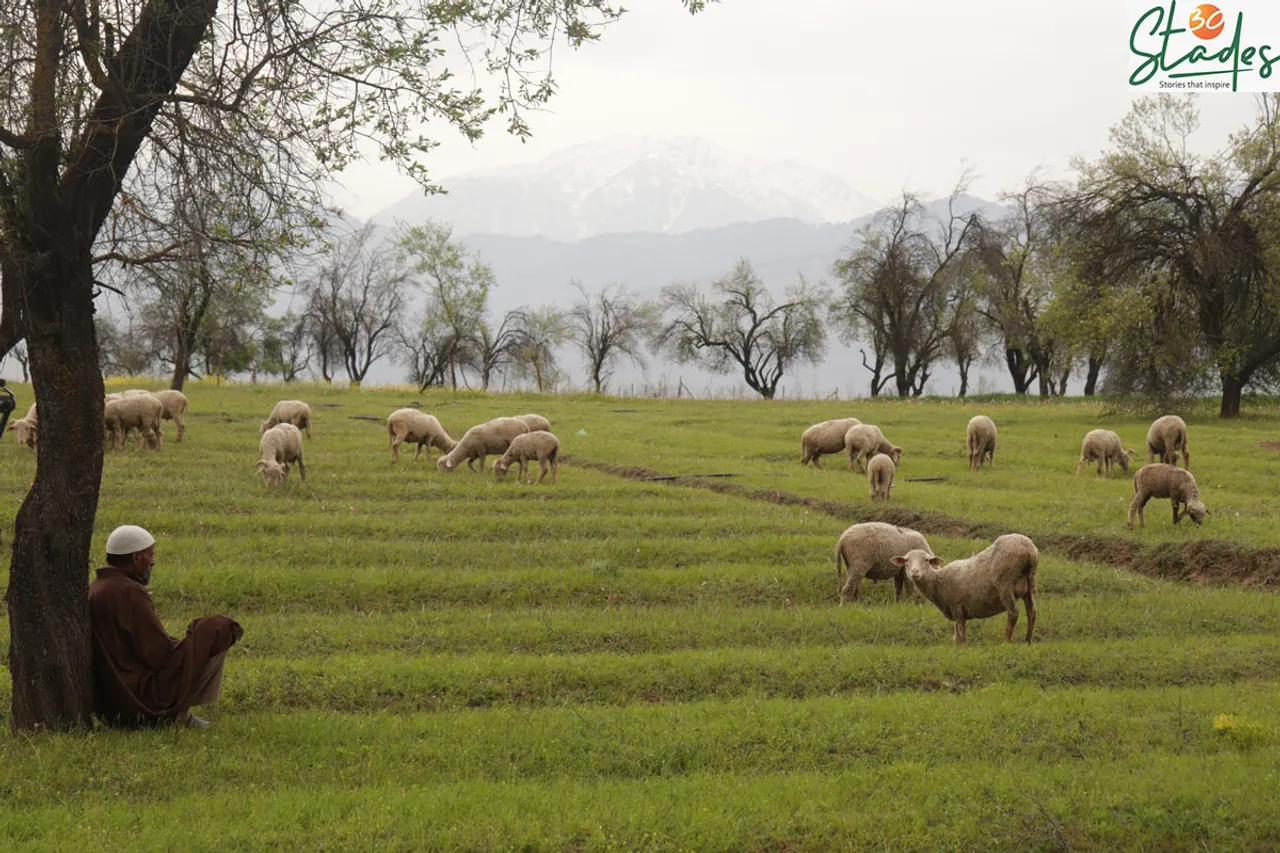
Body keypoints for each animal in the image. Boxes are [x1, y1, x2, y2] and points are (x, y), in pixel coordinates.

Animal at [890, 532, 1039, 645]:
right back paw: (1028, 641)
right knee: (1031, 612)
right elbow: (956, 636)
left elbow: (962, 635)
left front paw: (964, 649)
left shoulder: (958, 607)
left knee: (1013, 613)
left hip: (1005, 583)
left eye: (926, 560)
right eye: (906, 560)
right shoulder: (956, 611)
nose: (915, 572)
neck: (938, 582)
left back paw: (1005, 642)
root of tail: (1029, 551)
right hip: (1030, 583)